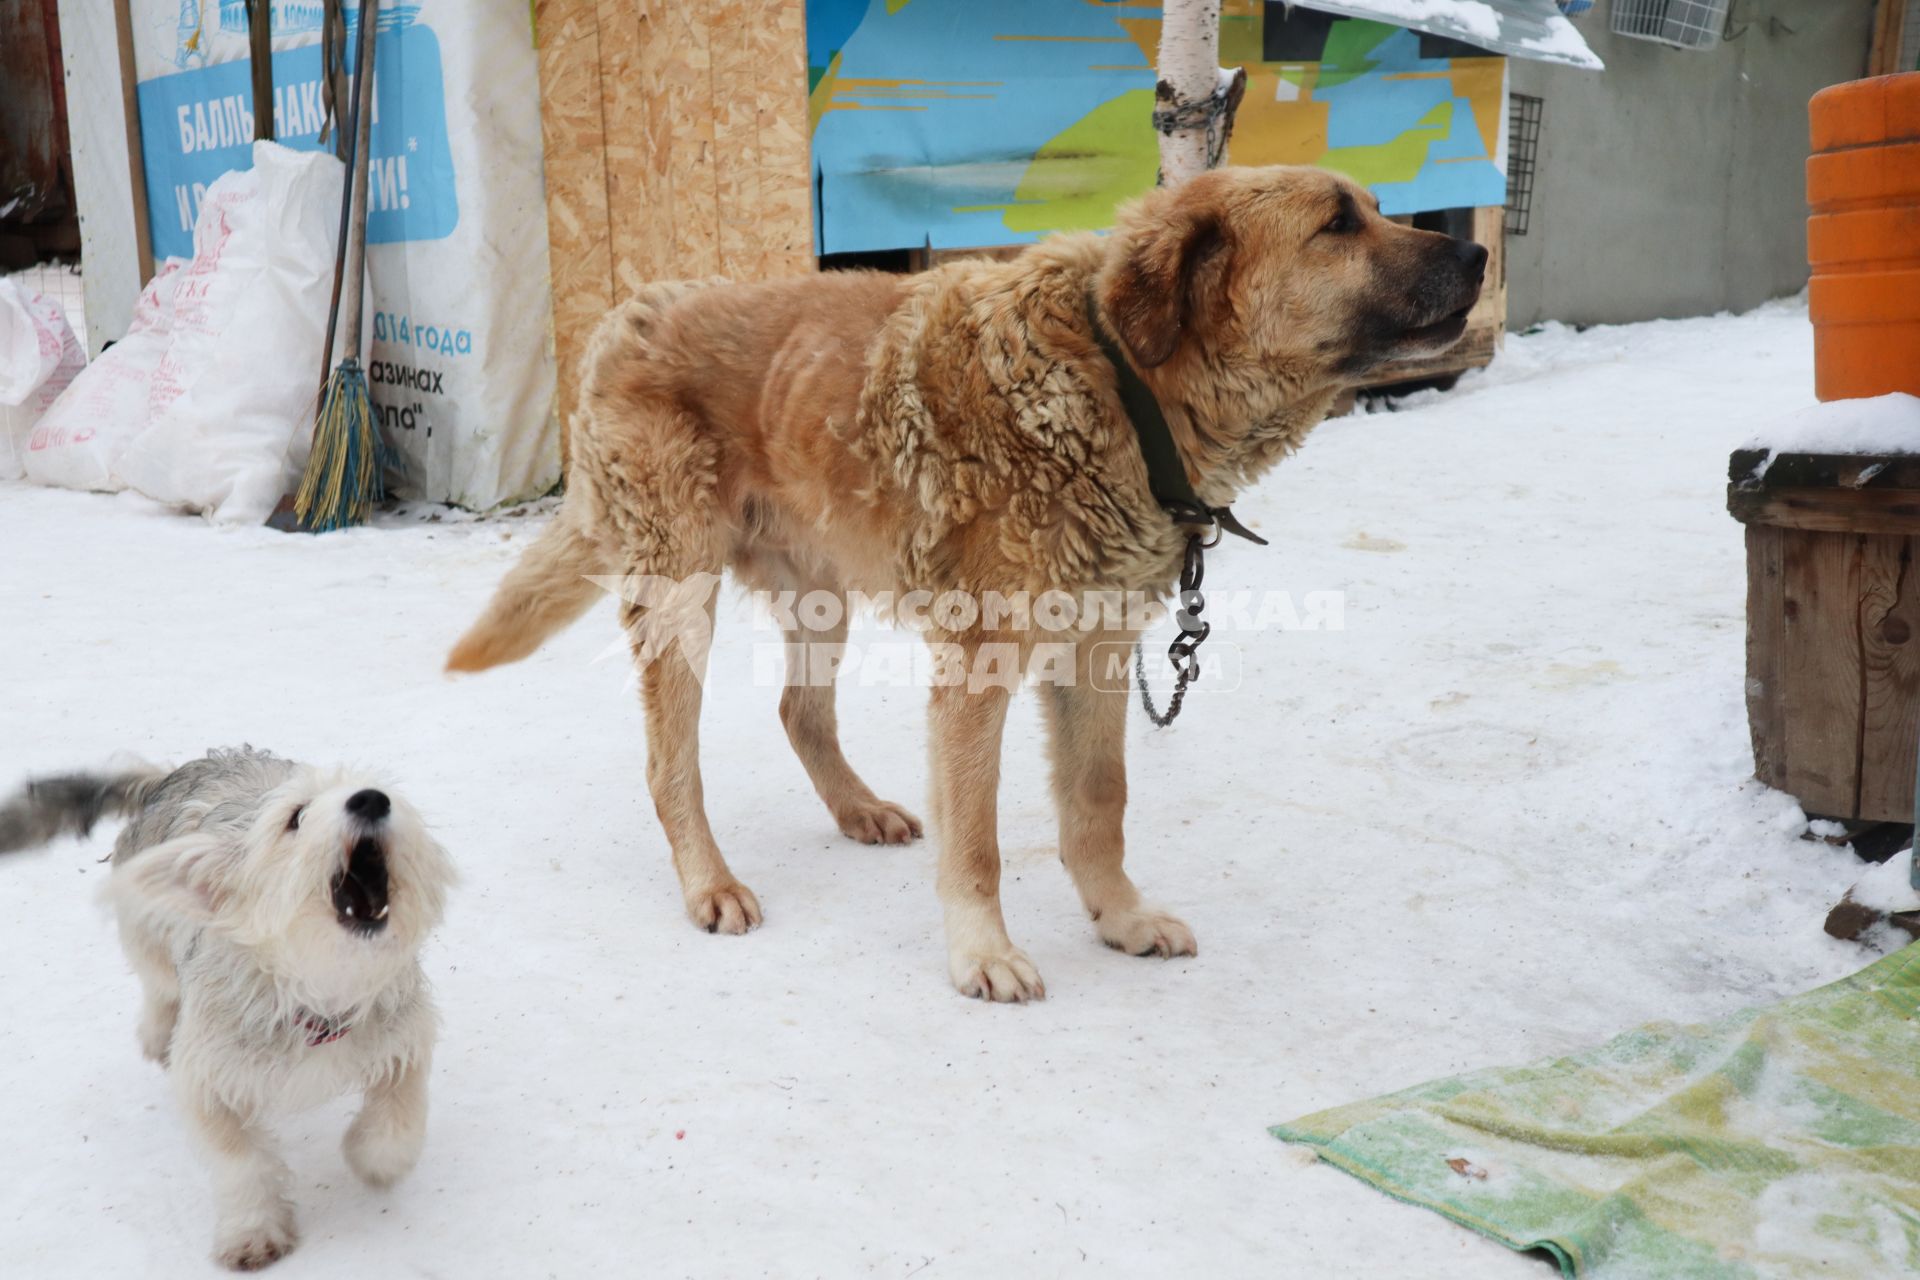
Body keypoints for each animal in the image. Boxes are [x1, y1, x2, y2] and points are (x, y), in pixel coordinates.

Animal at [0, 752, 456, 1274]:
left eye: (381, 792)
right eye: (296, 816)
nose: (371, 800)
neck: (317, 987)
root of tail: (170, 775)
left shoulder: (404, 1038)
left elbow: (399, 1116)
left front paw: (378, 1160)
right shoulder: (206, 1078)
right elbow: (241, 1162)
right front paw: (253, 1232)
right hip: (146, 933)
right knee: (159, 988)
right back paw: (158, 1034)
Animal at [445, 165, 1482, 997]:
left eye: (1377, 208)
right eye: (1338, 224)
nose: (1476, 252)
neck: (1122, 383)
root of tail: (625, 318)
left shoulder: (1097, 646)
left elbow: (1099, 803)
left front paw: (1119, 917)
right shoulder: (979, 668)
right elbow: (977, 835)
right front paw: (983, 953)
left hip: (820, 589)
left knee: (799, 710)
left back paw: (856, 809)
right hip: (679, 598)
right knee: (671, 766)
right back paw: (711, 882)